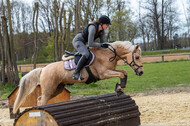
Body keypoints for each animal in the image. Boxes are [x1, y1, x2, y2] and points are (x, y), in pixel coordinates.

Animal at [13, 40, 144, 113]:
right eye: (137, 57)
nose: (141, 72)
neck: (108, 55)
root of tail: (43, 69)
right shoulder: (104, 73)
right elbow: (121, 73)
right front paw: (119, 89)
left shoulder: (111, 70)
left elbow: (124, 72)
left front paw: (120, 88)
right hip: (49, 88)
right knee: (42, 100)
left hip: (57, 89)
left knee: (40, 99)